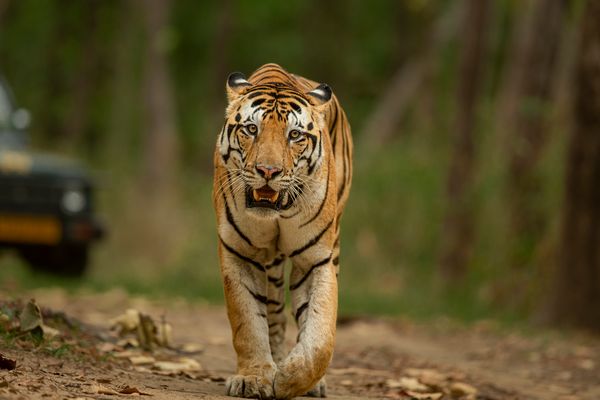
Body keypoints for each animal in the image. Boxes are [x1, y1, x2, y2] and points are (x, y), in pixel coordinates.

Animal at [212, 64, 352, 398]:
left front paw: (291, 379)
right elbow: (248, 322)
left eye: (295, 135)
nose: (268, 171)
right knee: (274, 315)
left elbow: (320, 335)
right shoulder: (239, 253)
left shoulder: (316, 260)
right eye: (251, 129)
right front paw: (253, 378)